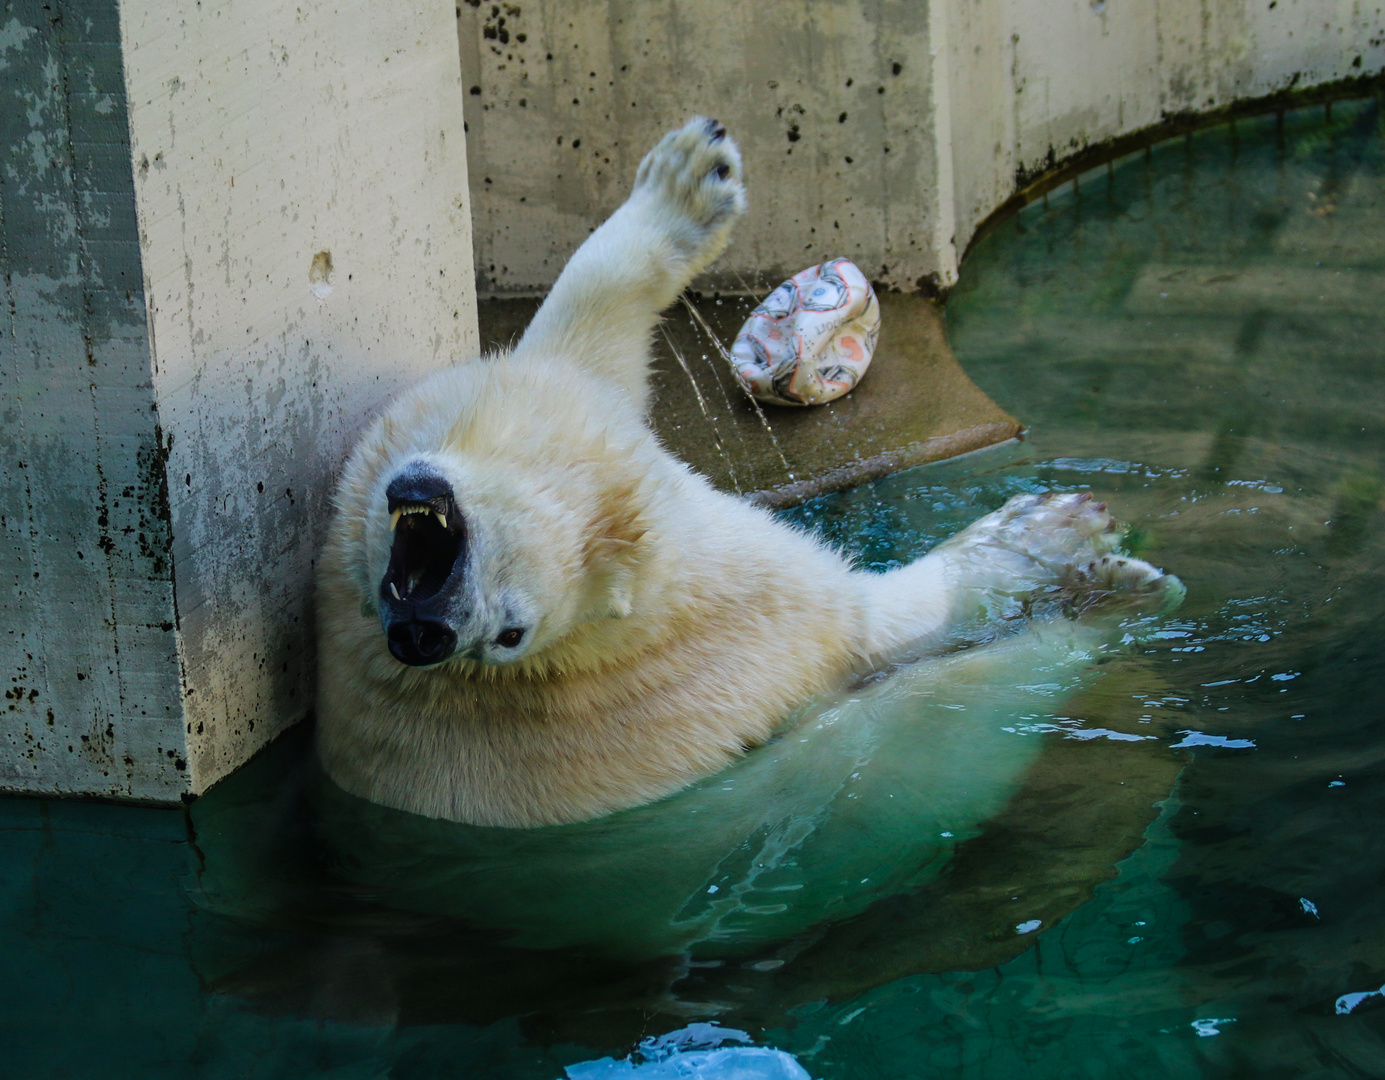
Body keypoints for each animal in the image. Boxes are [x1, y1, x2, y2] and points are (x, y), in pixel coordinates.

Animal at [314, 116, 1180, 825]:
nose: (424, 632)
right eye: (507, 640)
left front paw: (693, 172)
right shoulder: (737, 628)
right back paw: (1106, 600)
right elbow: (869, 618)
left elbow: (590, 340)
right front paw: (1054, 533)